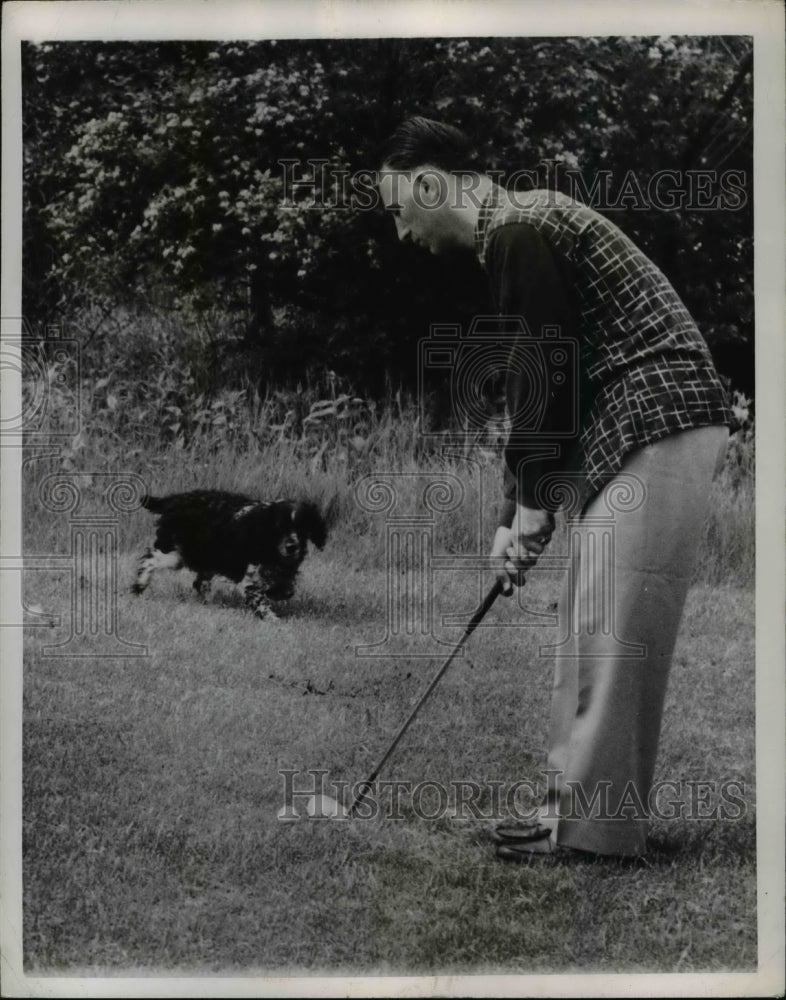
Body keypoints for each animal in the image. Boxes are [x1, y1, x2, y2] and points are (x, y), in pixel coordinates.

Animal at [131, 490, 324, 620]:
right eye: (278, 526)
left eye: (302, 528)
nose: (291, 547)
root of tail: (175, 500)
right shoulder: (253, 577)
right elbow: (258, 595)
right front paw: (271, 618)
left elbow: (285, 586)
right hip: (176, 552)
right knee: (149, 559)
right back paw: (139, 585)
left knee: (200, 583)